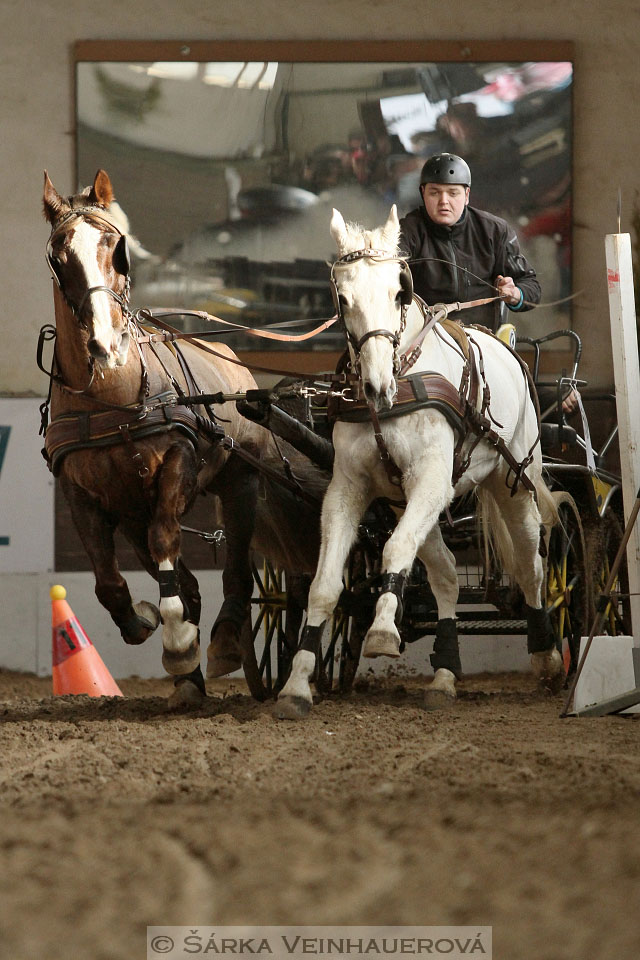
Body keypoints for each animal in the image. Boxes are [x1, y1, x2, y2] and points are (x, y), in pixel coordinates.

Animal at [42, 169, 322, 700]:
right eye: (58, 255)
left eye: (115, 246)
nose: (105, 345)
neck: (114, 397)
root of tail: (236, 363)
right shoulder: (79, 492)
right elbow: (108, 582)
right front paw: (147, 622)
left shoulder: (178, 461)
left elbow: (168, 540)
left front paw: (176, 640)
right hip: (132, 510)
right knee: (176, 573)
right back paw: (189, 679)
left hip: (240, 480)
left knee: (236, 569)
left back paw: (226, 640)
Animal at [278, 206, 564, 716]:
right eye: (343, 298)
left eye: (399, 291)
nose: (377, 385)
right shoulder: (349, 488)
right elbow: (326, 584)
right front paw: (296, 685)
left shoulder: (432, 480)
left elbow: (394, 551)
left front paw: (381, 633)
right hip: (405, 500)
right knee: (446, 574)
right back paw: (445, 674)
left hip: (512, 481)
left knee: (529, 565)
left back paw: (546, 657)